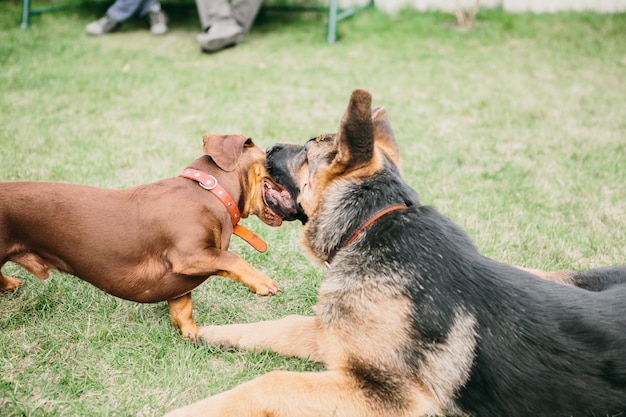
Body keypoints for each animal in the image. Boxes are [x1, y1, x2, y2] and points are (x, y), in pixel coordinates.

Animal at [0, 135, 282, 340]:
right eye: (269, 159)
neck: (209, 192)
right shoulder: (191, 255)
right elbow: (232, 259)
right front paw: (262, 281)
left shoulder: (181, 283)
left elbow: (183, 311)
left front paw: (194, 334)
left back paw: (9, 284)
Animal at [166, 89, 624, 414]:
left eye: (310, 148)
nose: (269, 147)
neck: (371, 224)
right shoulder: (336, 339)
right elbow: (282, 325)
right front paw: (211, 332)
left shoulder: (382, 392)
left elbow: (273, 381)